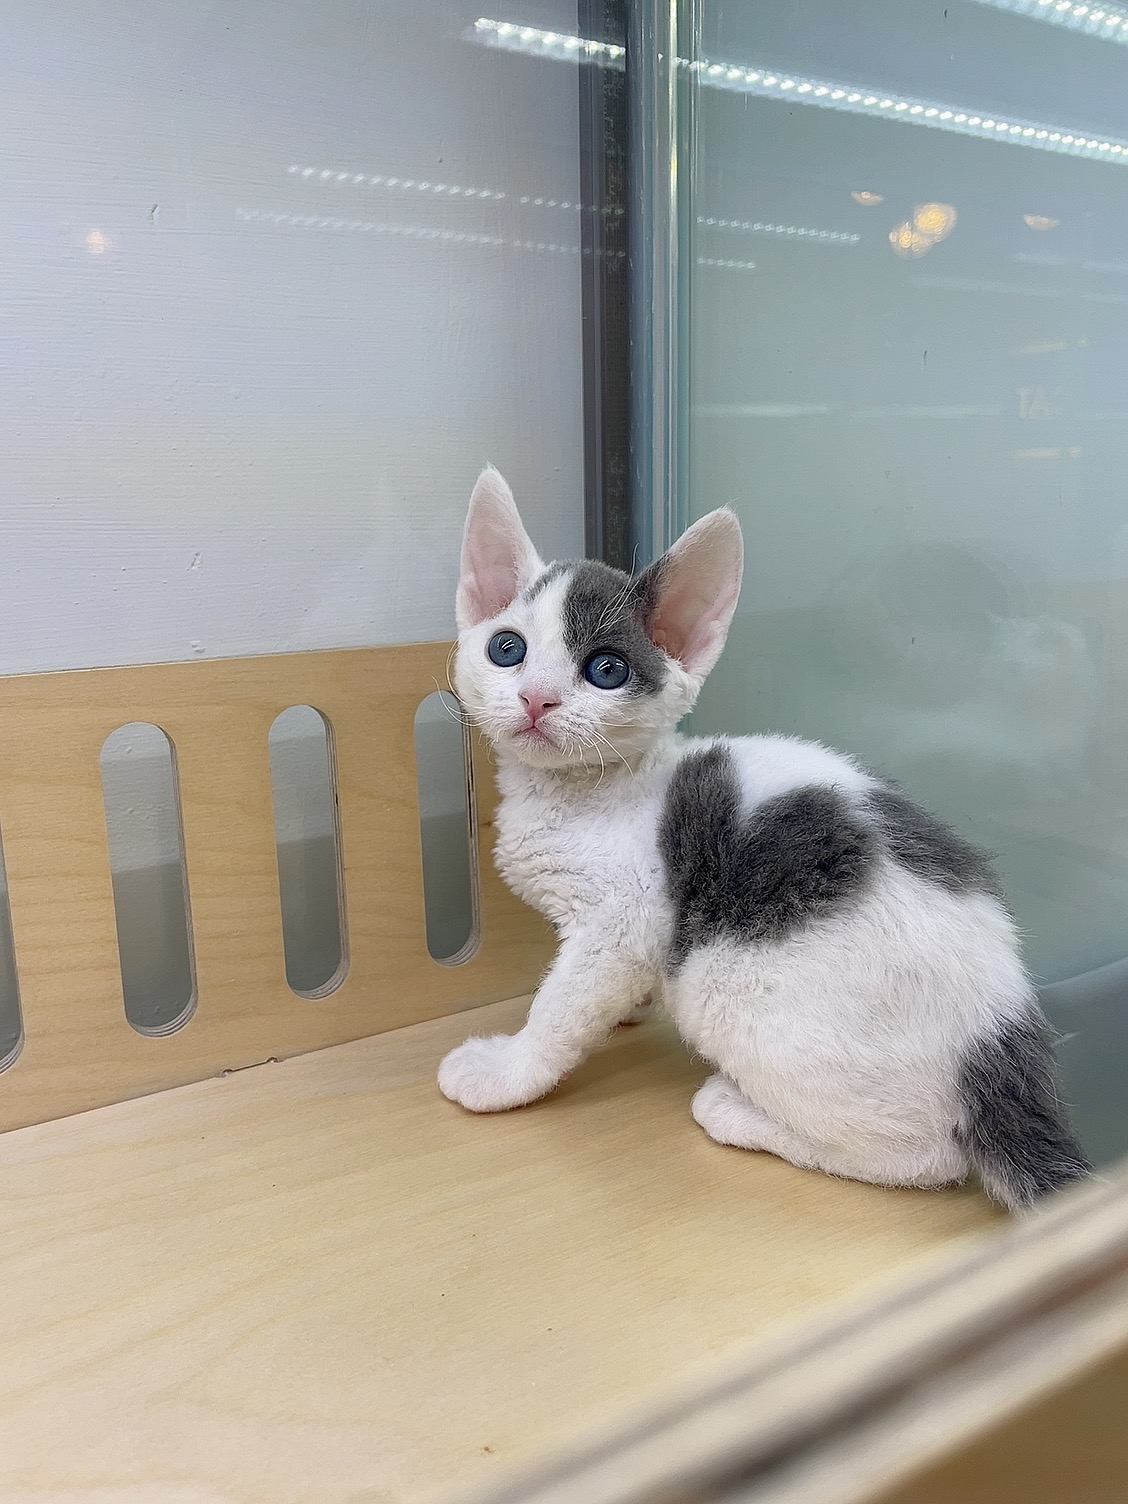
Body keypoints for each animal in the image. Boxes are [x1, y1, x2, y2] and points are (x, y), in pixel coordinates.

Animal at [437, 466, 1090, 1211]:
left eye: (607, 670)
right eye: (507, 650)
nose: (537, 699)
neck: (582, 792)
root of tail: (1003, 1033)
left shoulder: (623, 921)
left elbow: (563, 1004)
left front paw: (508, 1069)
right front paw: (628, 1012)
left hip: (731, 984)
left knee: (928, 1157)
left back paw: (739, 1113)